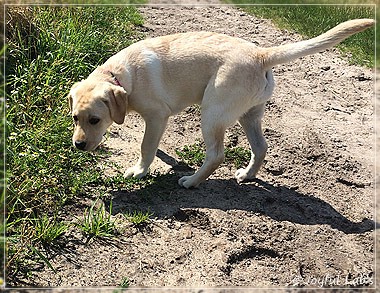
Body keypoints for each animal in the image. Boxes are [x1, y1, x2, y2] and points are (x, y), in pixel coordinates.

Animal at [68, 18, 374, 187]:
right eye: (74, 118)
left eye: (95, 120)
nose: (78, 145)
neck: (121, 75)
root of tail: (261, 54)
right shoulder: (157, 121)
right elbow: (154, 145)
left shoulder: (156, 115)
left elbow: (145, 147)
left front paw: (139, 171)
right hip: (249, 115)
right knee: (260, 148)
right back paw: (247, 175)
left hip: (212, 113)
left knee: (216, 155)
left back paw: (191, 182)